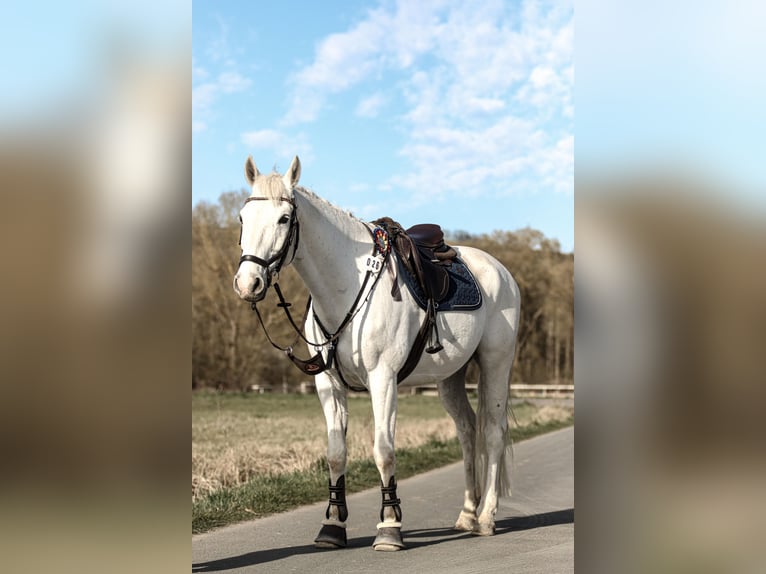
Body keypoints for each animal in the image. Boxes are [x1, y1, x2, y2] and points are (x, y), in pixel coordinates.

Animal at [233, 155, 520, 551]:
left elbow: (384, 452)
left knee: (492, 432)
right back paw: (467, 513)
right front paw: (332, 525)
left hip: (496, 362)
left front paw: (389, 526)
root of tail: (500, 270)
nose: (249, 283)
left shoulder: (383, 379)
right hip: (450, 377)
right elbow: (336, 454)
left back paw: (487, 517)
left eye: (284, 219)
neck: (347, 283)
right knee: (467, 430)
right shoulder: (329, 384)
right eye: (243, 218)